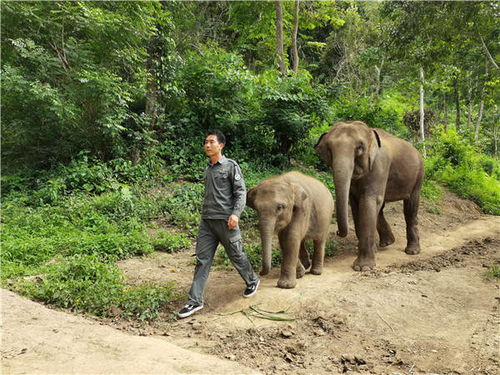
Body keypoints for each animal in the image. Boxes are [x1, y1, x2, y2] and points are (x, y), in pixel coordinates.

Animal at [314, 122, 424, 272]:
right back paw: (386, 243)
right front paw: (369, 256)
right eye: (329, 149)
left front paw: (362, 268)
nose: (336, 231)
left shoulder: (380, 165)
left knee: (410, 207)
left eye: (359, 147)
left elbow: (368, 201)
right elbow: (356, 204)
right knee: (381, 207)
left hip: (418, 176)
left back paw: (412, 251)